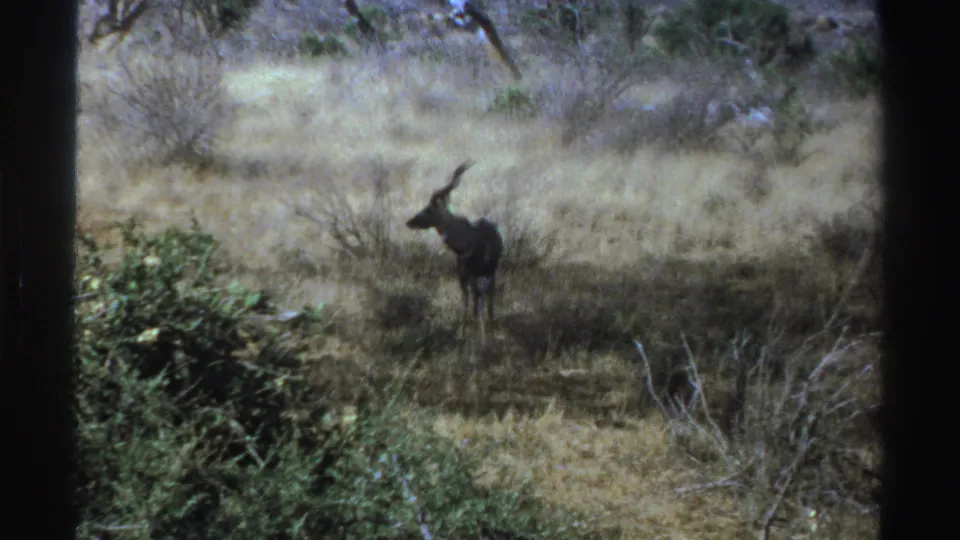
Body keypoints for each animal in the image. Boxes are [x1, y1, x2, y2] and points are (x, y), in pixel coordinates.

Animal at [406, 160, 504, 345]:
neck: (468, 242)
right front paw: (464, 335)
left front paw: (482, 340)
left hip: (488, 276)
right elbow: (467, 304)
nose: (409, 222)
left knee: (486, 302)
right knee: (478, 302)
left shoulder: (478, 276)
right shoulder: (464, 276)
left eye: (429, 209)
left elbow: (479, 307)